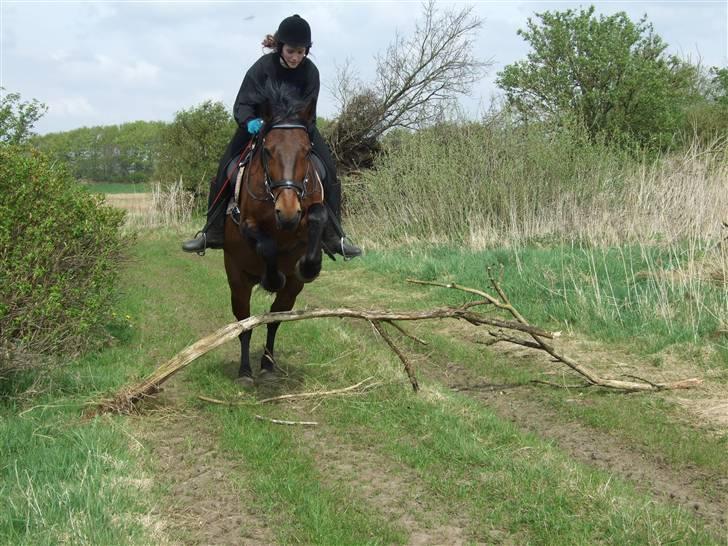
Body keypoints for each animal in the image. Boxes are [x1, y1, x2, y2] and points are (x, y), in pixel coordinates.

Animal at [220, 85, 326, 380]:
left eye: (306, 151)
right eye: (267, 151)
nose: (287, 211)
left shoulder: (308, 218)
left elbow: (319, 217)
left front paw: (310, 266)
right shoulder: (247, 224)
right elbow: (266, 245)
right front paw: (272, 277)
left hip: (292, 292)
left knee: (274, 320)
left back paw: (267, 363)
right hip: (237, 281)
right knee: (244, 323)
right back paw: (245, 370)